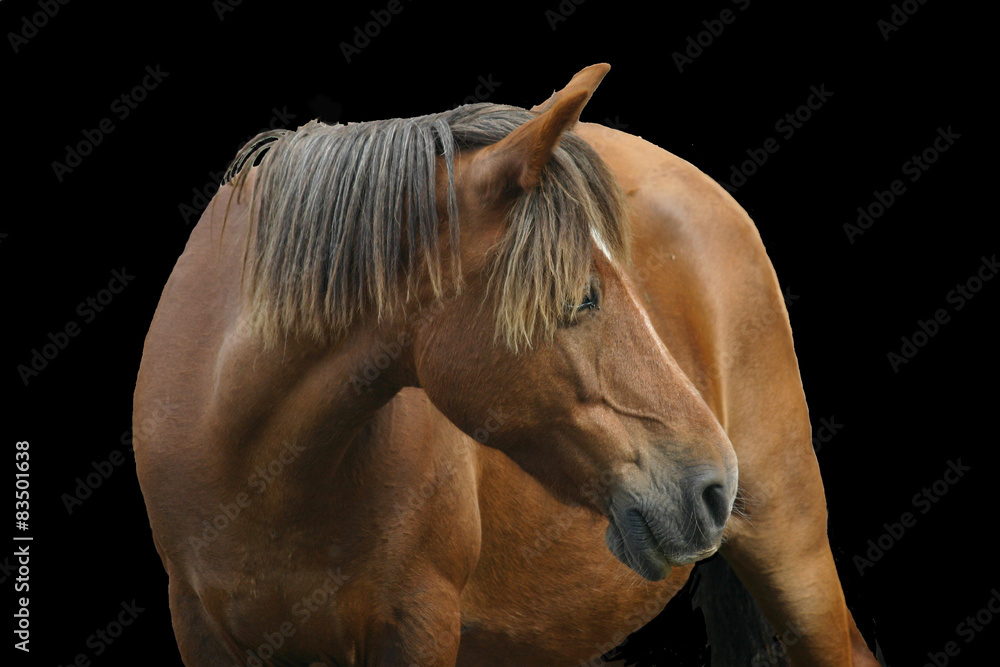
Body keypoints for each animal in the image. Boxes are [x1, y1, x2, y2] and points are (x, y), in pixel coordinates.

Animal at [133, 64, 879, 666]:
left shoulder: (417, 624)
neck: (259, 466)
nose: (715, 485)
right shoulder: (199, 629)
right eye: (582, 295)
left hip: (793, 554)